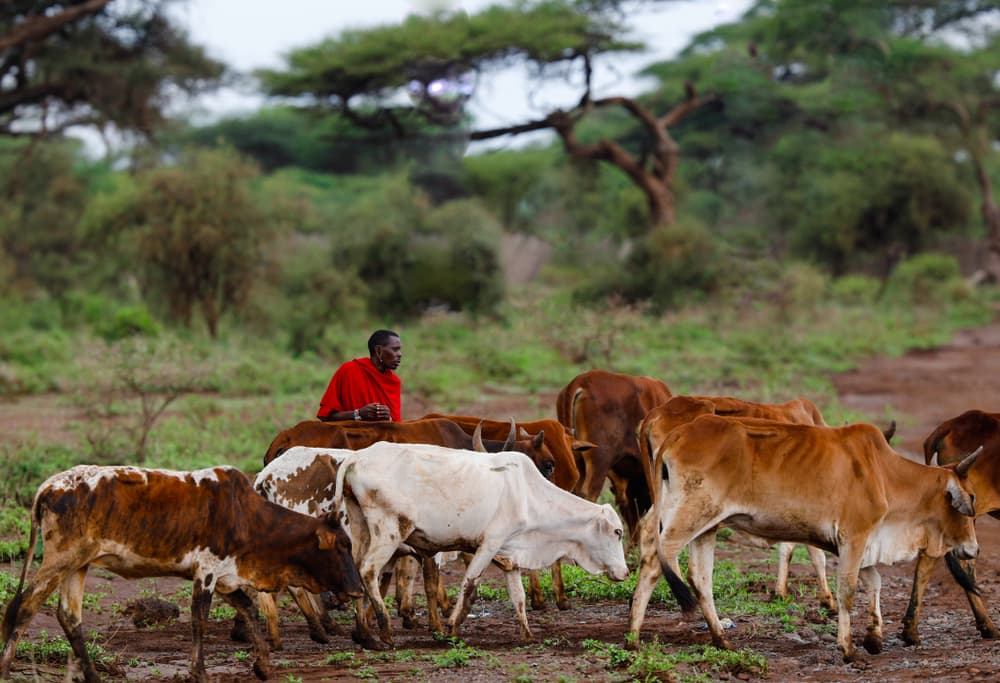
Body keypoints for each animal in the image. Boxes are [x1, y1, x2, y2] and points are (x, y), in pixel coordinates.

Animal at [0, 465, 362, 683]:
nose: (358, 589)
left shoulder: (226, 576)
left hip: (78, 565)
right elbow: (199, 620)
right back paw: (5, 666)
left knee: (69, 617)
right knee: (25, 606)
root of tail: (49, 486)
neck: (248, 517)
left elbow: (249, 609)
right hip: (61, 560)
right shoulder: (207, 572)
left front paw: (263, 664)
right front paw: (199, 672)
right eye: (343, 545)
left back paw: (93, 676)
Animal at [333, 441, 630, 645]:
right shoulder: (488, 544)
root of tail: (357, 457)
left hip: (361, 529)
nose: (626, 572)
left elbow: (518, 596)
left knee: (357, 571)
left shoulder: (510, 554)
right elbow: (470, 585)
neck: (527, 495)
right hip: (390, 531)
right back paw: (384, 629)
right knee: (368, 570)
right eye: (617, 532)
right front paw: (452, 626)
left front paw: (527, 634)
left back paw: (364, 634)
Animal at [641, 415, 980, 662]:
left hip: (707, 527)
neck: (884, 474)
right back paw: (636, 635)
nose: (974, 549)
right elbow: (848, 591)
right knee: (657, 561)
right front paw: (848, 648)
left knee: (698, 579)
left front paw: (874, 637)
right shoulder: (854, 537)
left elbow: (874, 583)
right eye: (971, 499)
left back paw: (716, 640)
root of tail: (681, 432)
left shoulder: (866, 542)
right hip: (687, 517)